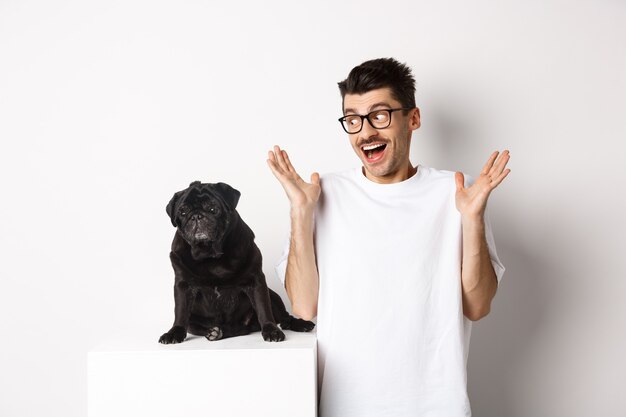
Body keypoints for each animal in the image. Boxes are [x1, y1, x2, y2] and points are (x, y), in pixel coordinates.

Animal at [158, 180, 314, 342]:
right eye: (182, 212)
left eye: (213, 209)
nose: (196, 216)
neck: (210, 254)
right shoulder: (183, 286)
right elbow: (180, 312)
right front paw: (174, 332)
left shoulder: (256, 281)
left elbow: (263, 308)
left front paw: (271, 330)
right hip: (196, 323)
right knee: (238, 329)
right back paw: (217, 332)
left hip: (273, 296)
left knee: (284, 317)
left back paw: (301, 324)